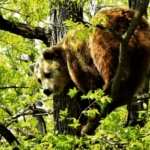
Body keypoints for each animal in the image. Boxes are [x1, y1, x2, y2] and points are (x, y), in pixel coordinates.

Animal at [29, 7, 150, 135]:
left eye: (47, 74)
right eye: (39, 80)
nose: (46, 90)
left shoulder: (77, 51)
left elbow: (87, 78)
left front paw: (92, 110)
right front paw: (81, 123)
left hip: (107, 29)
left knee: (104, 52)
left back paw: (109, 86)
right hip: (141, 45)